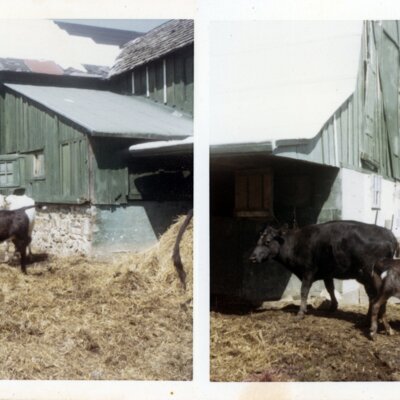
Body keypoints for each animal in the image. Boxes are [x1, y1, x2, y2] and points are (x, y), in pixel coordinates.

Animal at [249, 220, 399, 320]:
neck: (295, 243)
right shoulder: (327, 273)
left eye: (268, 241)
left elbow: (304, 291)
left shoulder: (308, 271)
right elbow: (330, 288)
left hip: (369, 275)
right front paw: (333, 306)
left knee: (373, 295)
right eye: (257, 241)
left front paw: (301, 312)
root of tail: (389, 235)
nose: (252, 257)